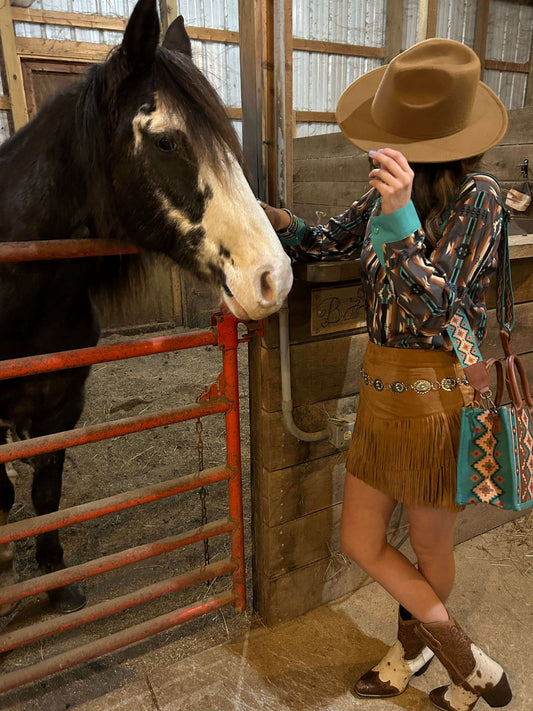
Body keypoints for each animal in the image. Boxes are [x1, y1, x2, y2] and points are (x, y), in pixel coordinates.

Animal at [0, 0, 290, 616]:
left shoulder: (62, 406)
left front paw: (56, 585)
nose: (274, 278)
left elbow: (46, 490)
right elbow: (7, 490)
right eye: (164, 143)